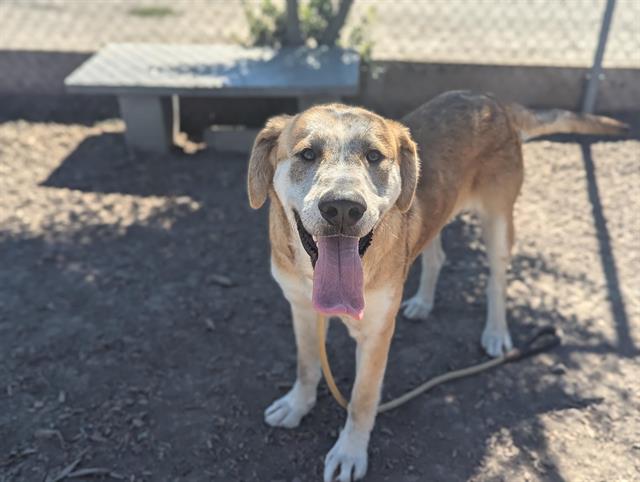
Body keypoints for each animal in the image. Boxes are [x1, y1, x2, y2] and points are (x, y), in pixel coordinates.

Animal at [246, 91, 624, 482]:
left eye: (374, 156)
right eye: (307, 154)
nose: (342, 208)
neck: (314, 274)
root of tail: (492, 101)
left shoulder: (376, 332)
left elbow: (362, 398)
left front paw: (350, 452)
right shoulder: (301, 309)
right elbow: (307, 365)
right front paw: (297, 405)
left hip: (499, 222)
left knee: (497, 280)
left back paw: (495, 332)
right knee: (436, 256)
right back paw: (422, 303)